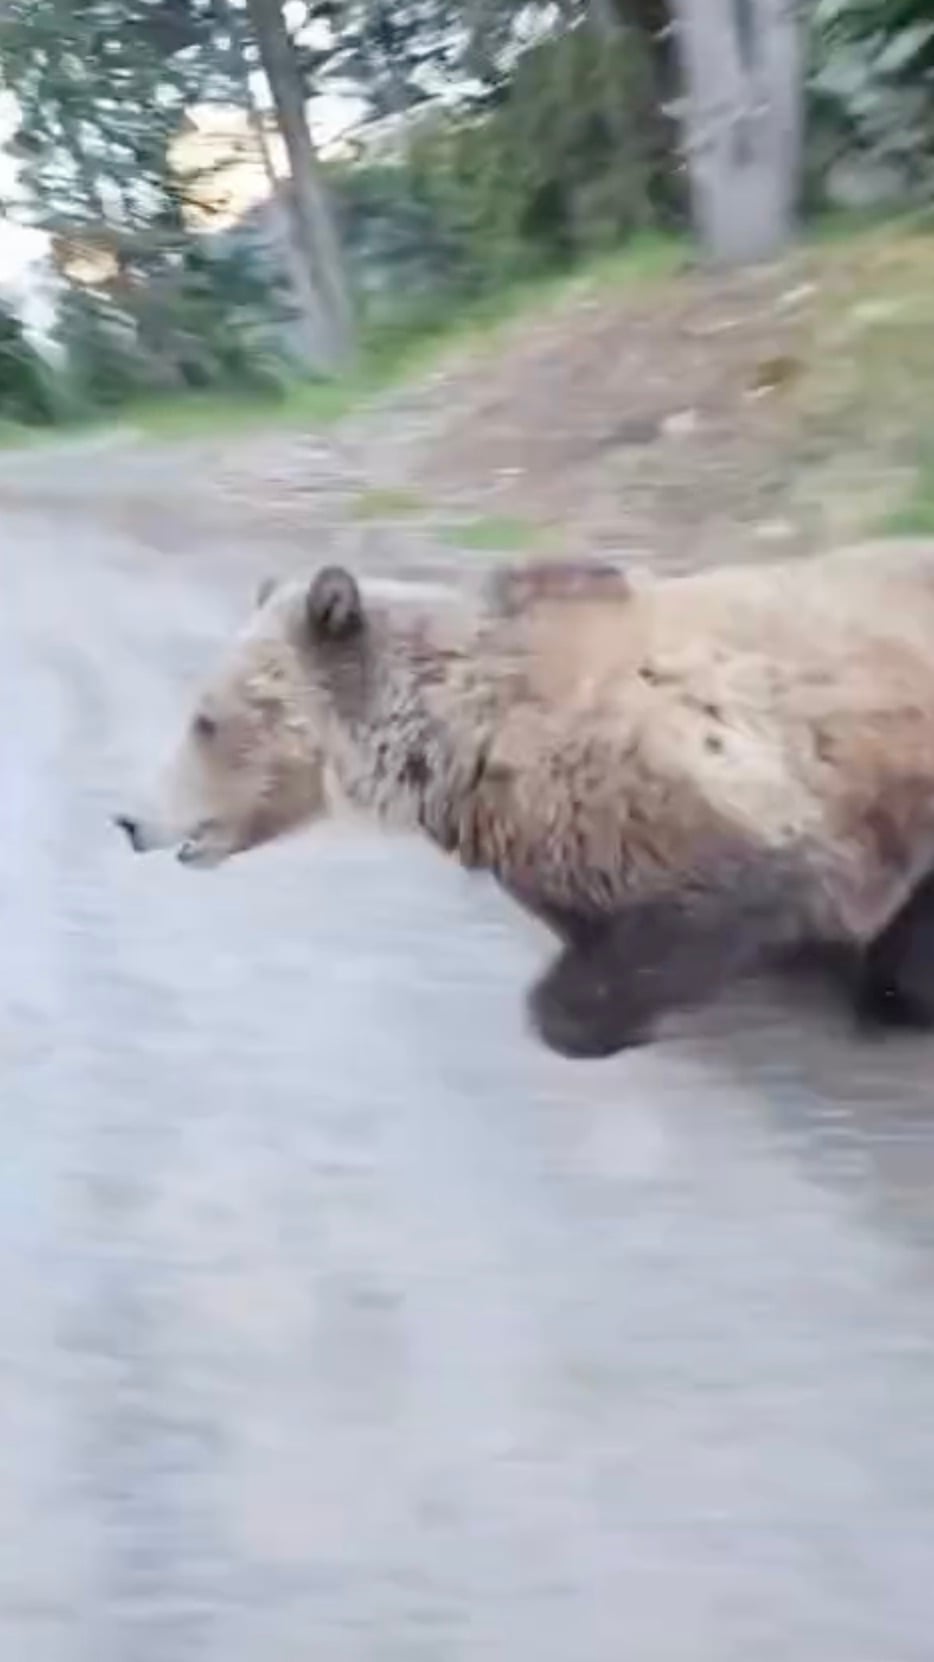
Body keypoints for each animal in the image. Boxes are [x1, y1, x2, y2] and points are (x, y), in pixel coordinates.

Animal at [116, 541, 934, 1058]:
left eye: (205, 718)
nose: (129, 819)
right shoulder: (537, 827)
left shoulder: (699, 784)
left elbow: (745, 887)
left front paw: (590, 1013)